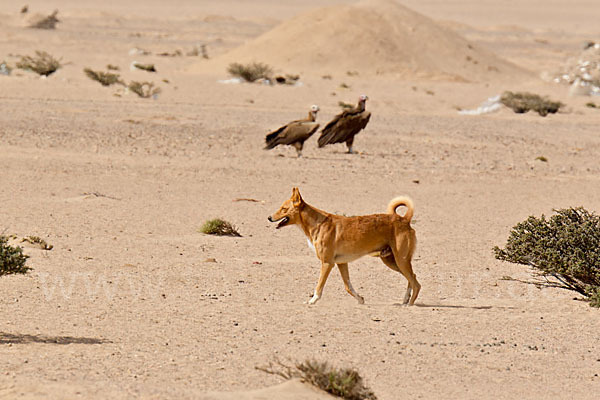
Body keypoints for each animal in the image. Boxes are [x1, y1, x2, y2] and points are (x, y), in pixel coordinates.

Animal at [270, 189, 420, 304]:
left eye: (283, 209)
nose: (269, 218)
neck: (318, 224)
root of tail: (404, 219)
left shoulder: (327, 263)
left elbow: (319, 286)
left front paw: (312, 301)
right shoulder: (341, 263)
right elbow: (348, 286)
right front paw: (360, 299)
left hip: (400, 260)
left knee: (416, 284)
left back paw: (410, 305)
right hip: (391, 261)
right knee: (412, 277)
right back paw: (405, 300)